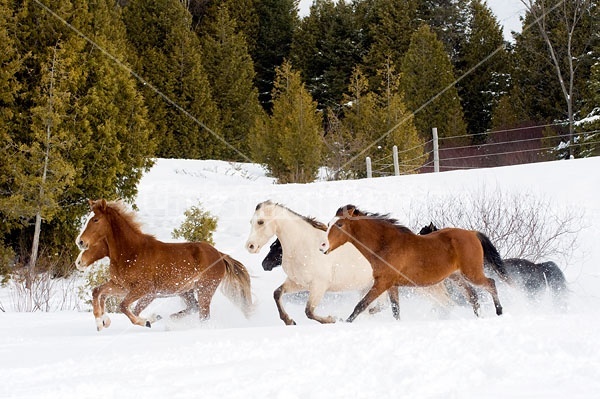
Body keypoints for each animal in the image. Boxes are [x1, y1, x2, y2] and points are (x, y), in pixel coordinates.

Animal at [76, 200, 252, 332]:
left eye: (95, 220)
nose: (80, 242)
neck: (130, 253)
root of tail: (220, 255)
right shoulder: (121, 286)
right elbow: (98, 292)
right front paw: (102, 322)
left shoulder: (145, 289)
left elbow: (124, 307)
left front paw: (147, 321)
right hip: (186, 291)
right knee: (194, 308)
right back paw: (170, 319)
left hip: (205, 290)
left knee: (203, 315)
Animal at [322, 205, 504, 324]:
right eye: (329, 224)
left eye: (340, 224)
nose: (322, 246)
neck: (385, 244)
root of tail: (472, 233)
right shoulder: (391, 285)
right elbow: (395, 309)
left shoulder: (383, 282)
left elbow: (361, 305)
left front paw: (345, 322)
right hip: (456, 276)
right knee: (473, 295)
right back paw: (479, 316)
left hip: (471, 273)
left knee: (490, 283)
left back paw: (499, 311)